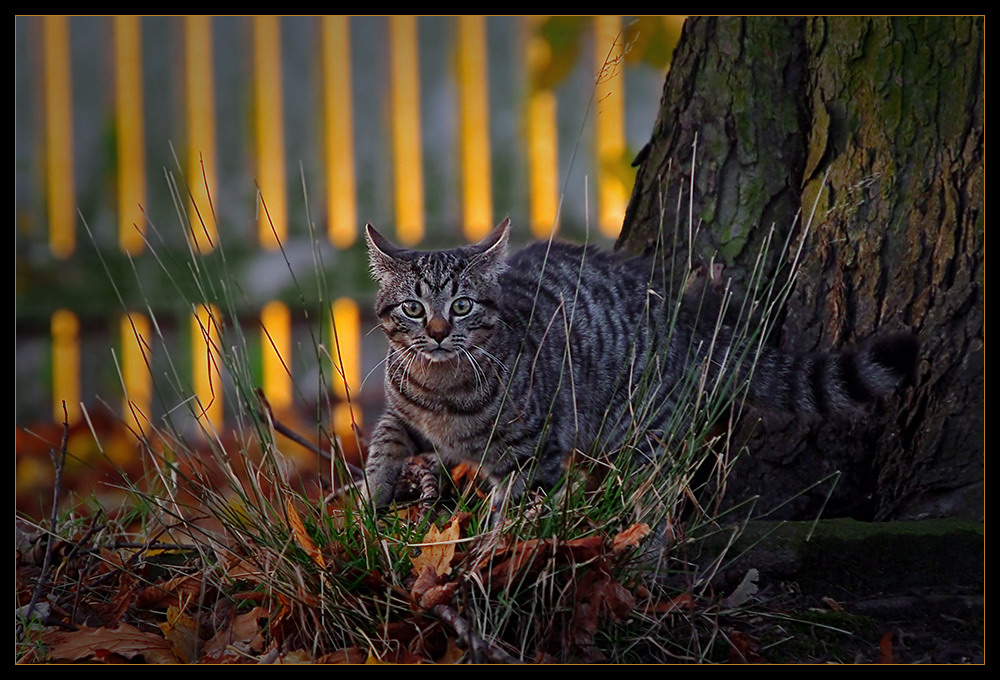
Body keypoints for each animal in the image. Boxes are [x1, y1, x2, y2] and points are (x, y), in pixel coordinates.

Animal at [364, 218, 916, 510]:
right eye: (413, 308)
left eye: (461, 306)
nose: (438, 332)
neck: (441, 387)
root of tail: (687, 317)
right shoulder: (401, 411)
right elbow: (382, 442)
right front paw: (372, 500)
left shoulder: (535, 453)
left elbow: (512, 516)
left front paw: (489, 559)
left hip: (643, 430)